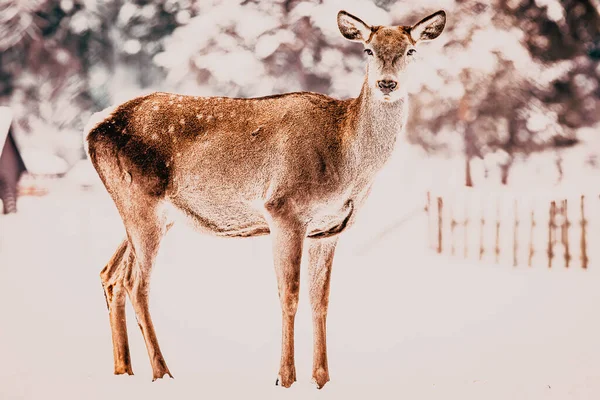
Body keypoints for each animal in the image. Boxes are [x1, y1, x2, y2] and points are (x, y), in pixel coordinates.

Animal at [83, 8, 446, 390]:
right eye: (368, 50)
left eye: (411, 50)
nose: (387, 84)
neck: (348, 166)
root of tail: (93, 128)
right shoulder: (284, 209)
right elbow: (290, 294)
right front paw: (285, 378)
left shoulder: (329, 230)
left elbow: (321, 300)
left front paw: (322, 379)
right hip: (141, 202)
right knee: (136, 283)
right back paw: (162, 372)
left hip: (152, 214)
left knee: (110, 273)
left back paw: (124, 369)